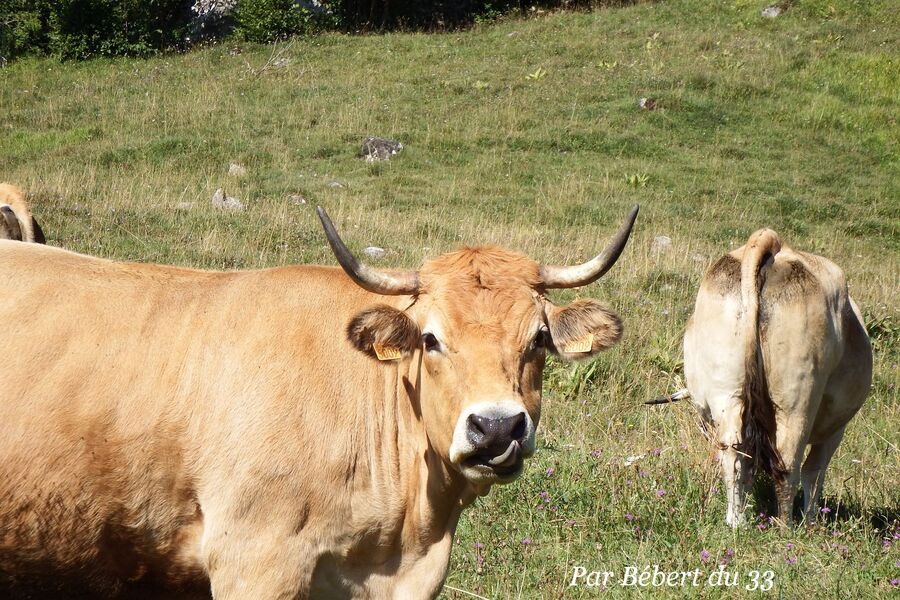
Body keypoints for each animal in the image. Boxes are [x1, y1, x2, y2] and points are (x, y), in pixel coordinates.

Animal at [684, 229, 872, 524]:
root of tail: (771, 242)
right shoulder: (835, 429)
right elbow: (815, 472)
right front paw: (811, 522)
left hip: (726, 393)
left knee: (734, 454)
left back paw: (736, 521)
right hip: (797, 401)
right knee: (788, 462)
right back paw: (787, 526)